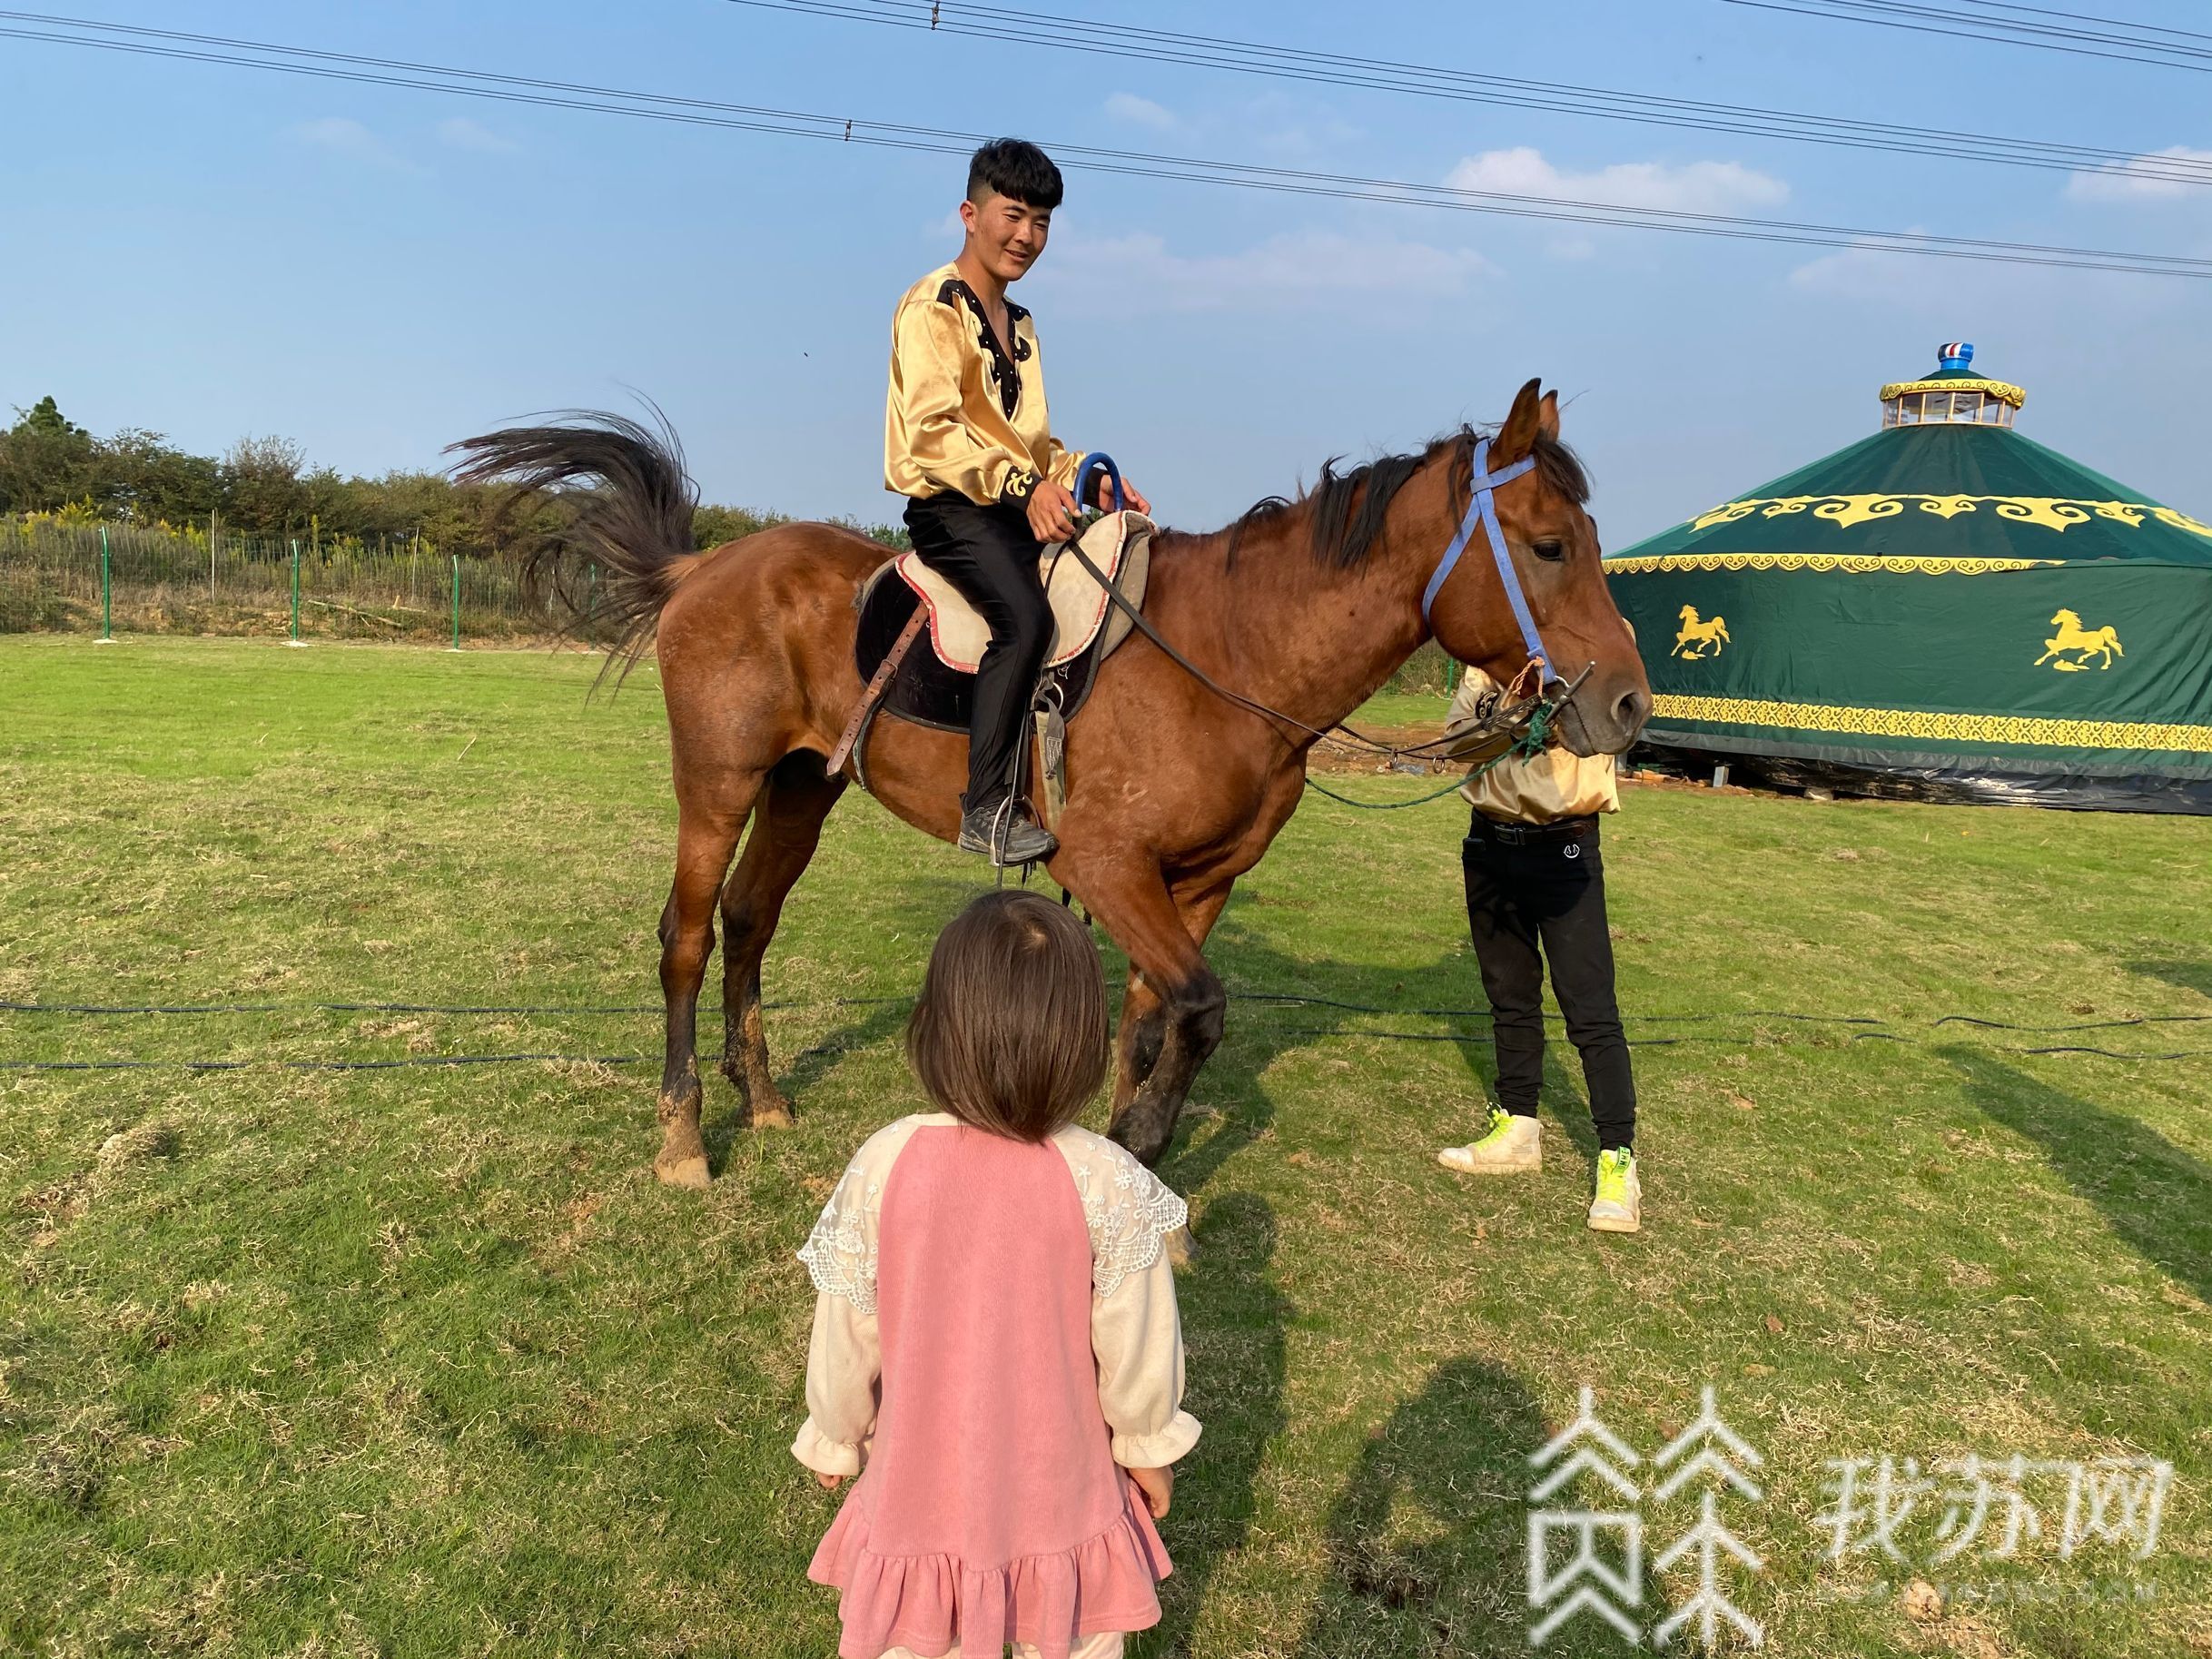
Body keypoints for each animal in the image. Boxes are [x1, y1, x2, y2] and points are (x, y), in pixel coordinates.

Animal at [454, 379, 1650, 1186]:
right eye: (1549, 545)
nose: (1633, 707)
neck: (1230, 655)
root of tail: (706, 565)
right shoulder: (1108, 864)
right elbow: (1200, 1012)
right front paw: (1142, 1145)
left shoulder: (1196, 882)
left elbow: (1153, 1024)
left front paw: (1132, 1174)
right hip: (718, 783)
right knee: (690, 939)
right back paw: (683, 1137)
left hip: (803, 787)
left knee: (749, 924)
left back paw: (765, 1102)